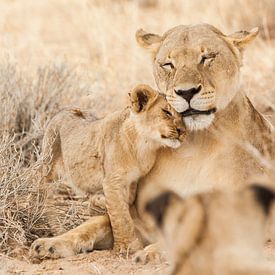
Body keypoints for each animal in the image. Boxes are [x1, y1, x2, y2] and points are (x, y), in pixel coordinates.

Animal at [30, 84, 185, 260]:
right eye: (166, 112)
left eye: (182, 116)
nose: (182, 130)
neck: (145, 145)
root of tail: (65, 109)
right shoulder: (113, 180)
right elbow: (121, 218)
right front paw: (127, 247)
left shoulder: (133, 181)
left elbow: (124, 208)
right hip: (48, 163)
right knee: (41, 187)